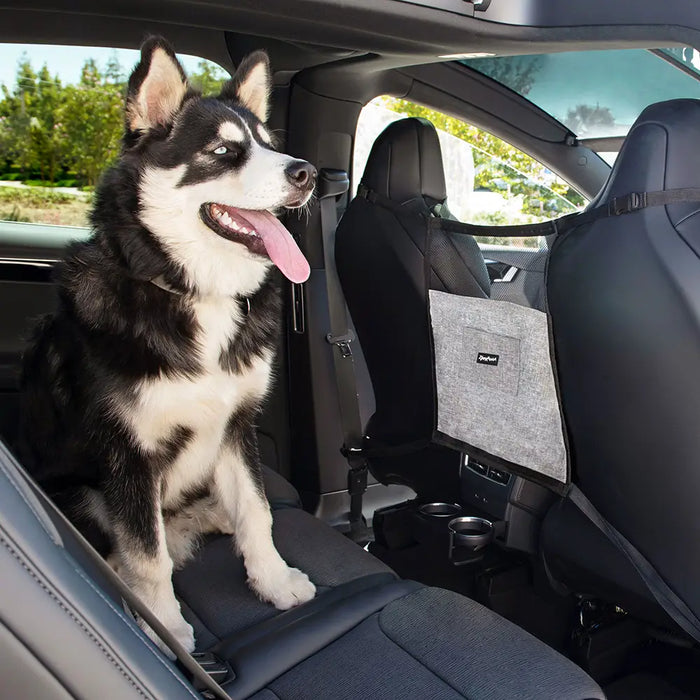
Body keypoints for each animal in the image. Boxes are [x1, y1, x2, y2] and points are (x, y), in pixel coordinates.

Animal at [16, 37, 318, 652]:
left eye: (269, 145)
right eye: (223, 151)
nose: (307, 172)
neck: (189, 290)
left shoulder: (236, 423)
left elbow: (257, 512)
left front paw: (272, 581)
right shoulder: (128, 454)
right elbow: (147, 554)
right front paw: (165, 625)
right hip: (82, 492)